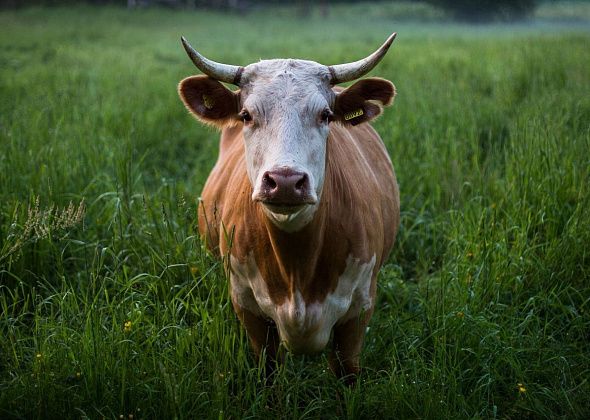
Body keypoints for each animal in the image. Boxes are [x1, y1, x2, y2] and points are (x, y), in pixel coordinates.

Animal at [179, 35, 402, 384]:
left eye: (325, 115)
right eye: (246, 115)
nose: (285, 181)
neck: (297, 266)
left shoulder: (359, 312)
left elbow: (347, 373)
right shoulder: (248, 309)